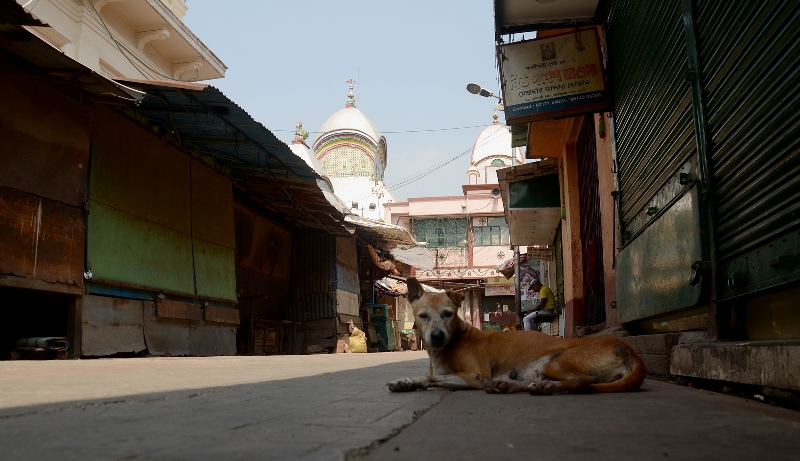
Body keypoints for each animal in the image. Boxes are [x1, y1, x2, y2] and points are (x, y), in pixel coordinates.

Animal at [390, 274, 648, 394]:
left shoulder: (475, 377)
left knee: (582, 381)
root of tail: (630, 350)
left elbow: (431, 378)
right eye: (423, 316)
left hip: (557, 362)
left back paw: (547, 387)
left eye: (448, 314)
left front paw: (412, 381)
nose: (436, 337)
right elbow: (429, 378)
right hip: (541, 368)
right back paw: (511, 385)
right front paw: (406, 382)